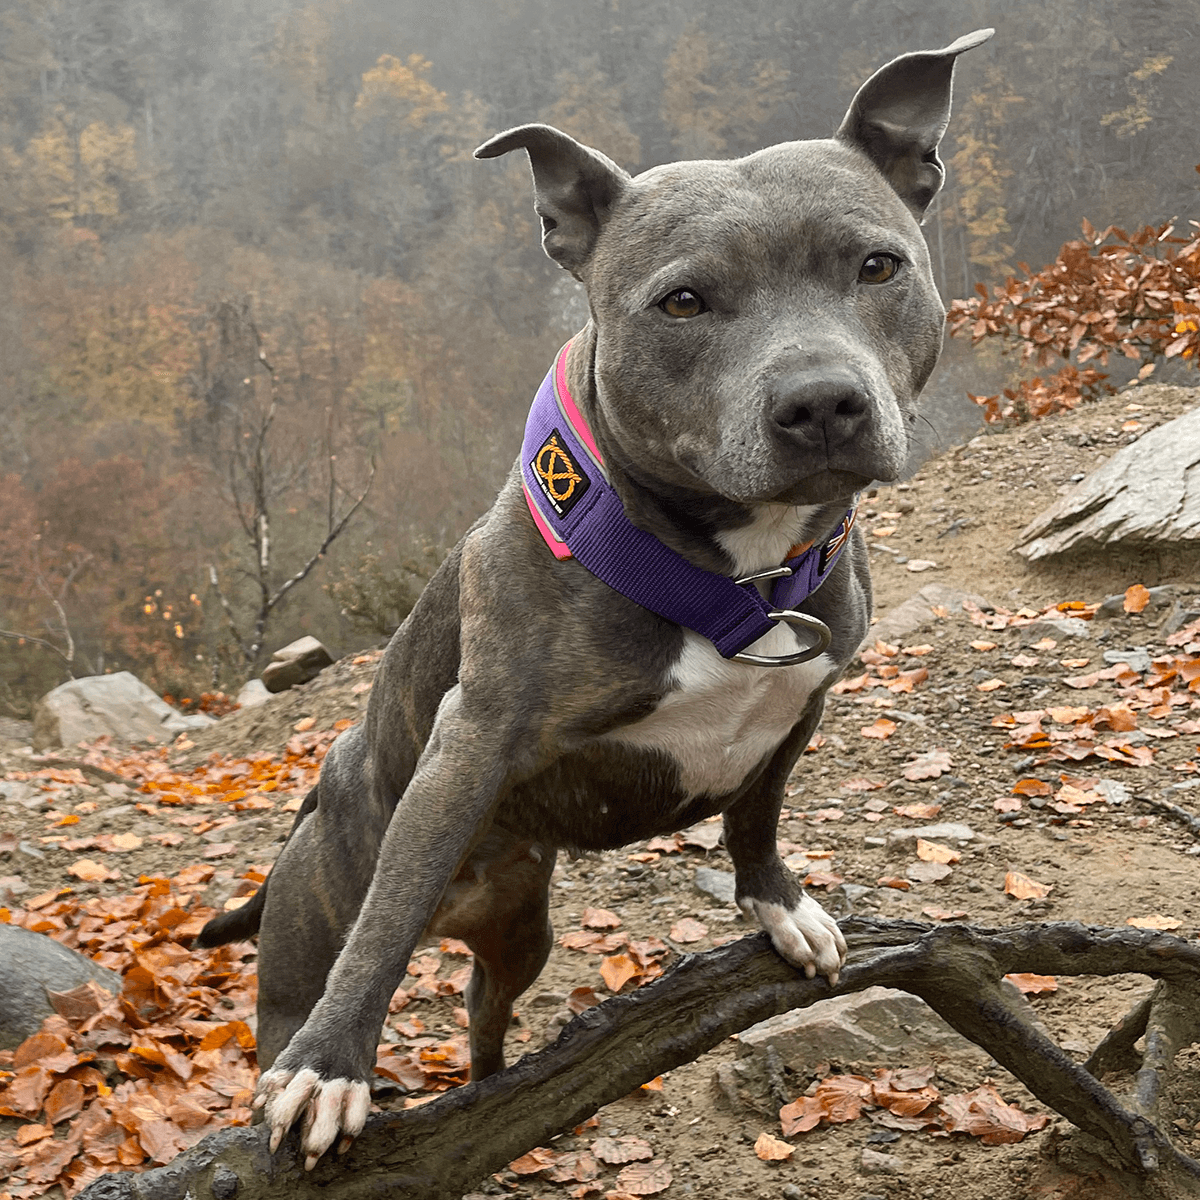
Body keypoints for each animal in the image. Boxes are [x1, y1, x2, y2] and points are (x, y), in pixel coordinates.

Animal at [194, 28, 984, 1166]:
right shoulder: (468, 743)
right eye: (683, 301)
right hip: (307, 929)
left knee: (484, 1013)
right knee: (341, 959)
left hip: (521, 934)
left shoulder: (805, 700)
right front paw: (331, 1068)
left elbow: (759, 812)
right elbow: (383, 927)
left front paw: (778, 905)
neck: (733, 569)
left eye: (878, 266)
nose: (823, 402)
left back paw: (497, 1105)